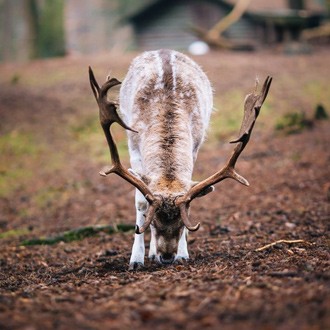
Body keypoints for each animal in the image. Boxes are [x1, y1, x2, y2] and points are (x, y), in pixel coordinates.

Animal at [89, 49, 272, 270]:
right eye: (153, 222)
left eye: (183, 224)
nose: (167, 256)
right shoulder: (134, 148)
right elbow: (140, 201)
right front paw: (136, 259)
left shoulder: (195, 146)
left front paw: (183, 254)